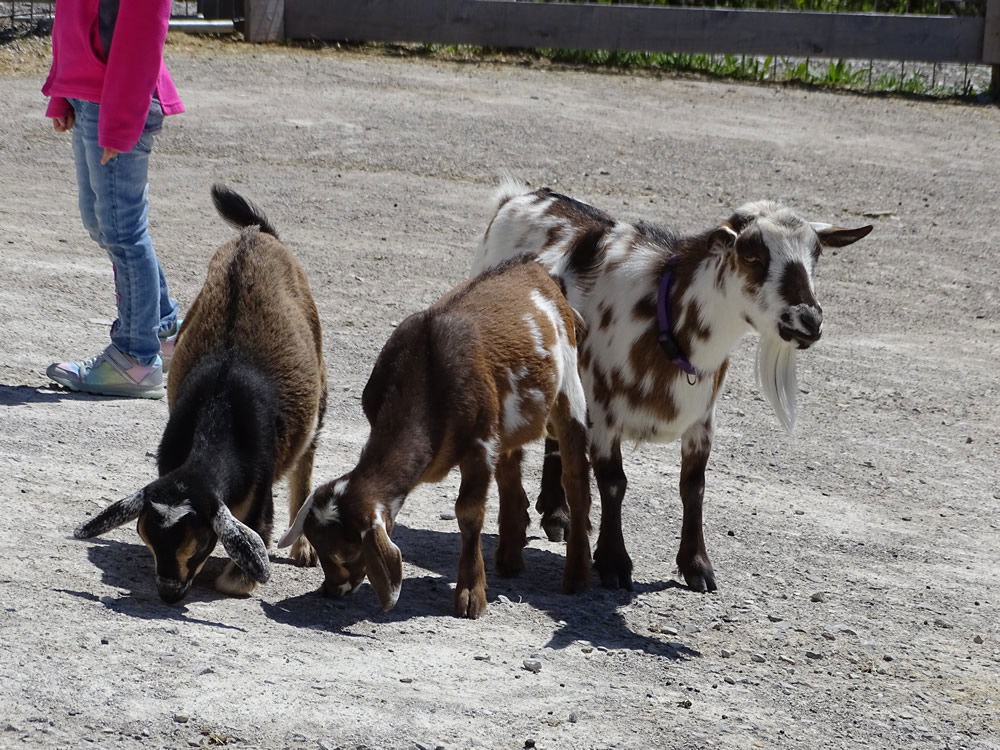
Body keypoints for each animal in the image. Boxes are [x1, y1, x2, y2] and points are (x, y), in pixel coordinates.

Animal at [73, 184, 328, 604]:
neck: (220, 406)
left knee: (306, 458)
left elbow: (238, 572)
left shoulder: (259, 500)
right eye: (148, 540)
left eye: (198, 545)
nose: (168, 591)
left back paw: (304, 546)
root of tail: (256, 235)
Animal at [280, 256, 592, 620]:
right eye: (316, 545)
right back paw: (510, 559)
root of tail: (536, 270)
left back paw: (577, 574)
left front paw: (471, 596)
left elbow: (468, 512)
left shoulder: (481, 443)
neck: (426, 372)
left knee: (575, 477)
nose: (330, 590)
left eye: (348, 552)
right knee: (511, 471)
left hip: (569, 388)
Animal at [472, 181, 872, 592]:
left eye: (816, 255)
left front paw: (697, 565)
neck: (665, 318)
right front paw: (614, 562)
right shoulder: (603, 413)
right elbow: (614, 482)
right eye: (751, 253)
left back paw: (558, 515)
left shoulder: (702, 420)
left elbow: (693, 487)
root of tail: (519, 197)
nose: (808, 320)